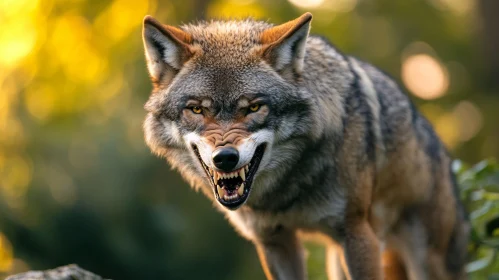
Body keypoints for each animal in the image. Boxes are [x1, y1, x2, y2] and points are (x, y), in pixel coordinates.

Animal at [141, 12, 468, 278]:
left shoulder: (357, 233)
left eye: (254, 107)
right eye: (196, 110)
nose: (225, 158)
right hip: (340, 260)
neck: (286, 194)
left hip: (424, 258)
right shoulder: (273, 241)